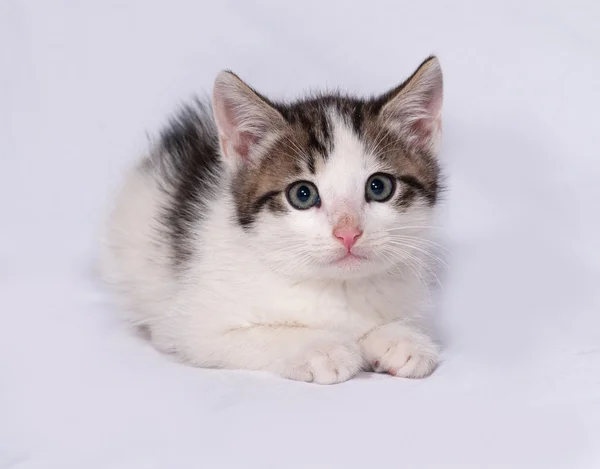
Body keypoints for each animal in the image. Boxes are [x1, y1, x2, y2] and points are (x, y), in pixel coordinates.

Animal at [101, 55, 442, 384]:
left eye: (379, 187)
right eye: (303, 194)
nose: (348, 233)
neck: (336, 286)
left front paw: (400, 339)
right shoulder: (191, 327)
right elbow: (258, 334)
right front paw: (321, 348)